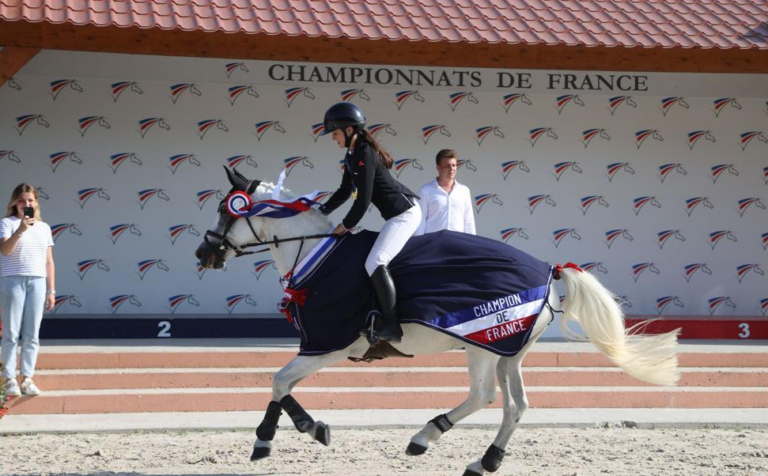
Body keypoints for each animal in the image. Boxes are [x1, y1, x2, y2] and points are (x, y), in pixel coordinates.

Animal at [196, 168, 680, 476]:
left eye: (226, 210)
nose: (204, 254)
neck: (315, 255)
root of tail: (550, 270)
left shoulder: (330, 343)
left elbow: (279, 381)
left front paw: (280, 436)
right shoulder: (324, 347)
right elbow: (284, 386)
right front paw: (297, 431)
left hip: (481, 344)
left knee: (485, 396)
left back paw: (425, 437)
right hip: (509, 350)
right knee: (516, 405)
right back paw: (484, 461)